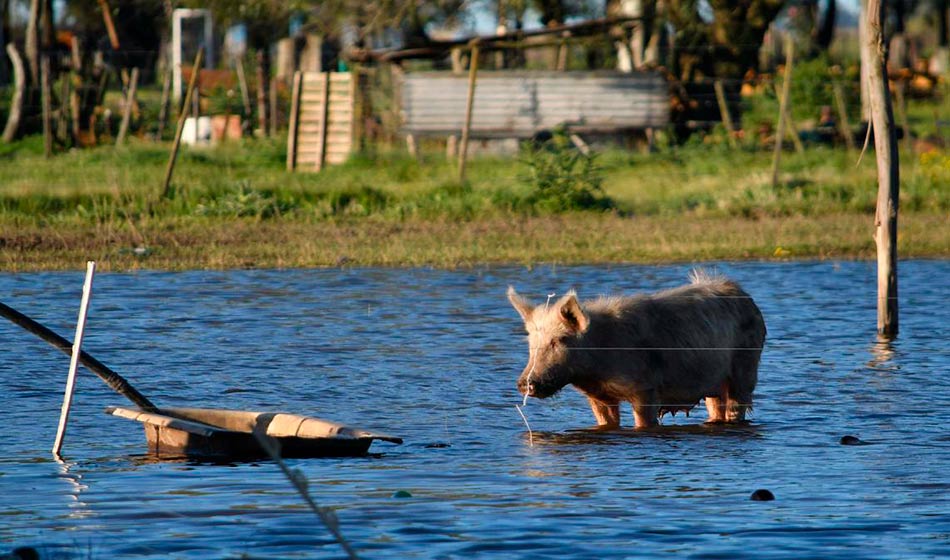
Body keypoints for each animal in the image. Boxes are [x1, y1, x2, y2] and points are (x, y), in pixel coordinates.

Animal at [510, 272, 768, 428]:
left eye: (560, 340)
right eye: (531, 344)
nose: (524, 383)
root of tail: (745, 296)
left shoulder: (645, 388)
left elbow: (643, 420)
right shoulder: (598, 396)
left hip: (746, 365)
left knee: (738, 403)